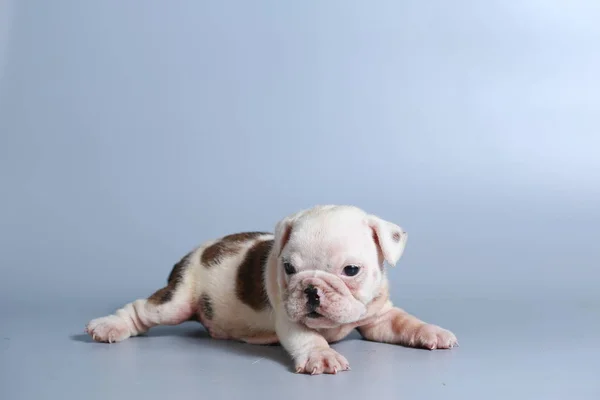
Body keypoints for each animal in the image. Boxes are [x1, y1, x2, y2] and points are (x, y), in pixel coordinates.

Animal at [84, 206, 458, 376]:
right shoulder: (289, 318)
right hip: (176, 301)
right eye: (289, 268)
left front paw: (433, 332)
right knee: (140, 310)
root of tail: (195, 252)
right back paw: (109, 326)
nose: (311, 289)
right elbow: (309, 337)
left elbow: (405, 323)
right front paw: (322, 355)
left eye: (351, 270)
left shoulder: (380, 315)